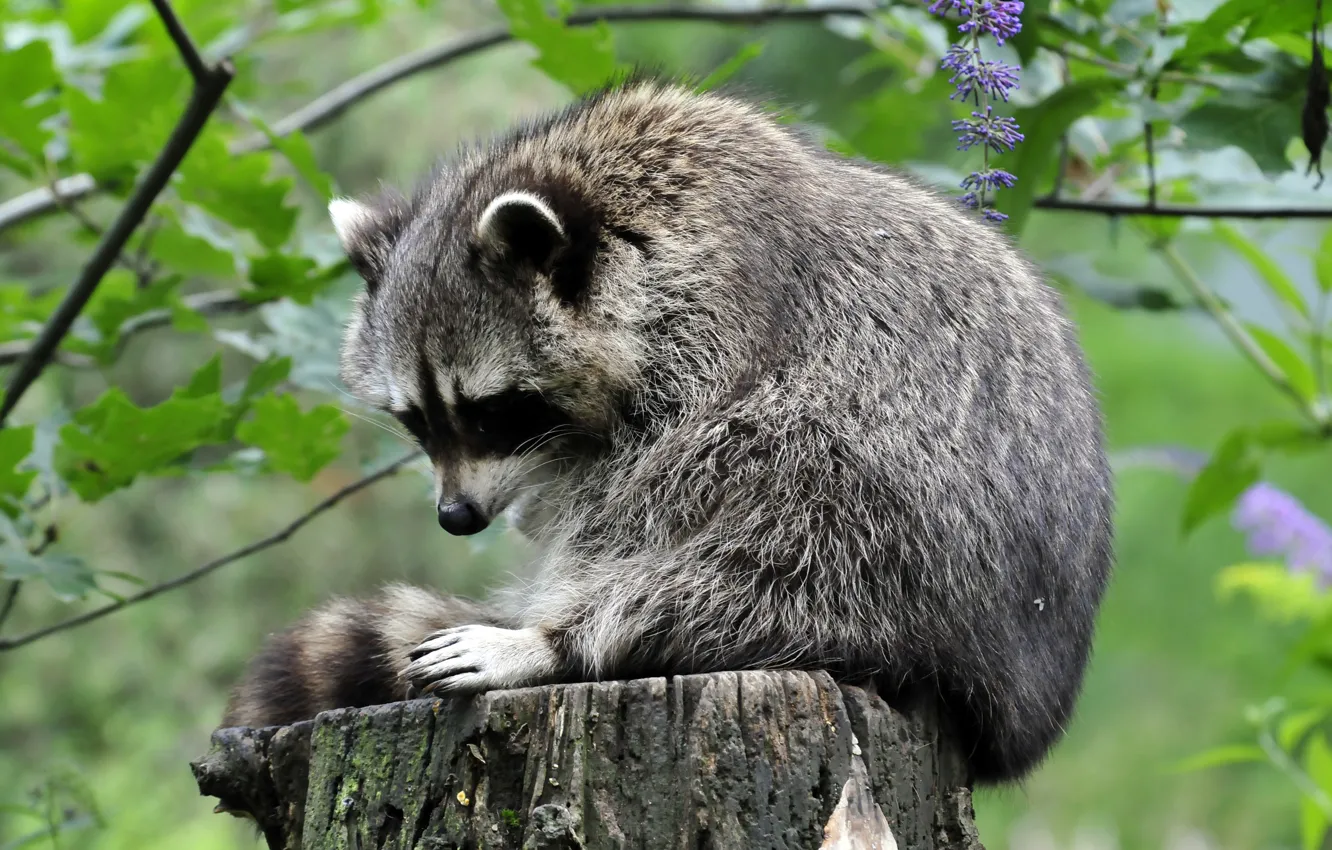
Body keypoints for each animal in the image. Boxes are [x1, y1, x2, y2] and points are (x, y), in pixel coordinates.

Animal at [222, 78, 1114, 784]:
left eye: (493, 411)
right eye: (415, 419)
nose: (456, 517)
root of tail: (1026, 707)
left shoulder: (723, 322)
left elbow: (647, 490)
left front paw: (555, 630)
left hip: (909, 531)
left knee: (781, 513)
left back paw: (568, 638)